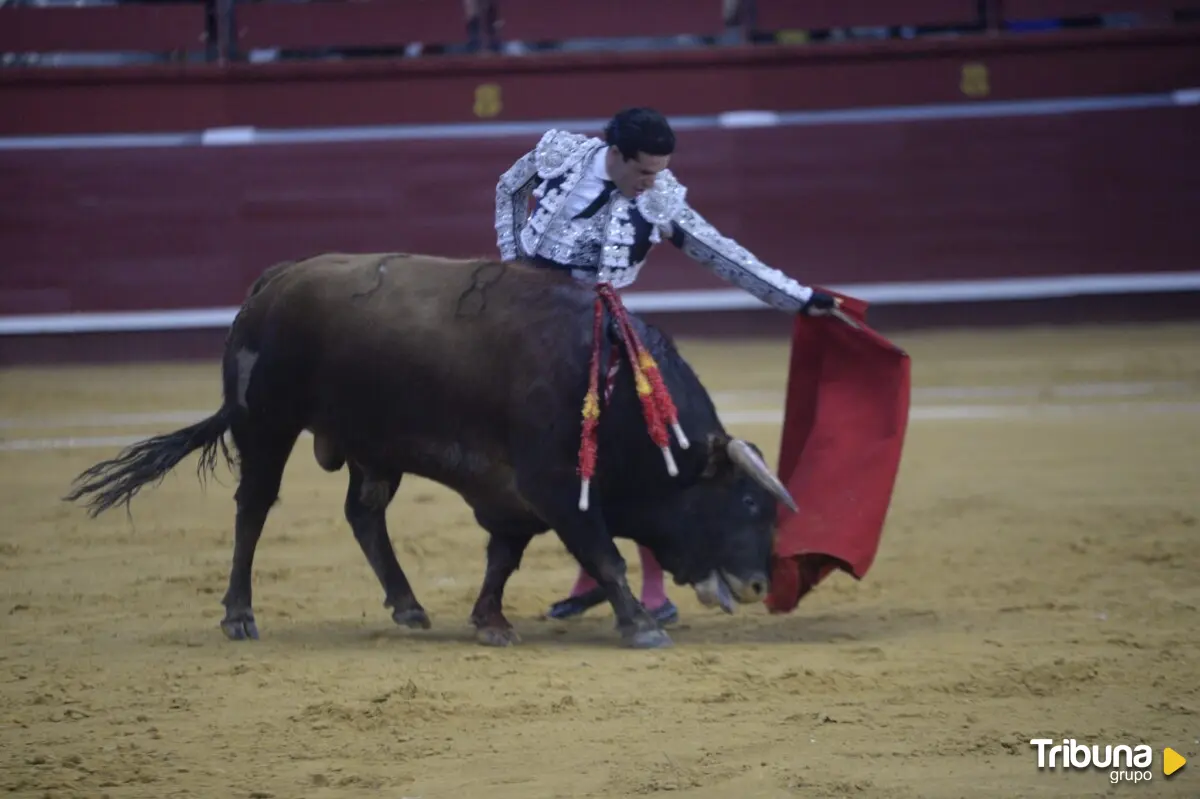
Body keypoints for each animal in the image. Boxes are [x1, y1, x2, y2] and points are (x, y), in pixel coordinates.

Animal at [64, 252, 798, 649]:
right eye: (745, 502)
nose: (761, 584)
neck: (618, 390)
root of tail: (274, 280)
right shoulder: (558, 489)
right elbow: (606, 555)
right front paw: (641, 624)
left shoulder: (515, 497)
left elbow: (503, 558)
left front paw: (489, 620)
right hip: (264, 424)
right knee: (254, 509)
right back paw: (239, 616)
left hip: (370, 445)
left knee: (364, 514)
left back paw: (409, 604)